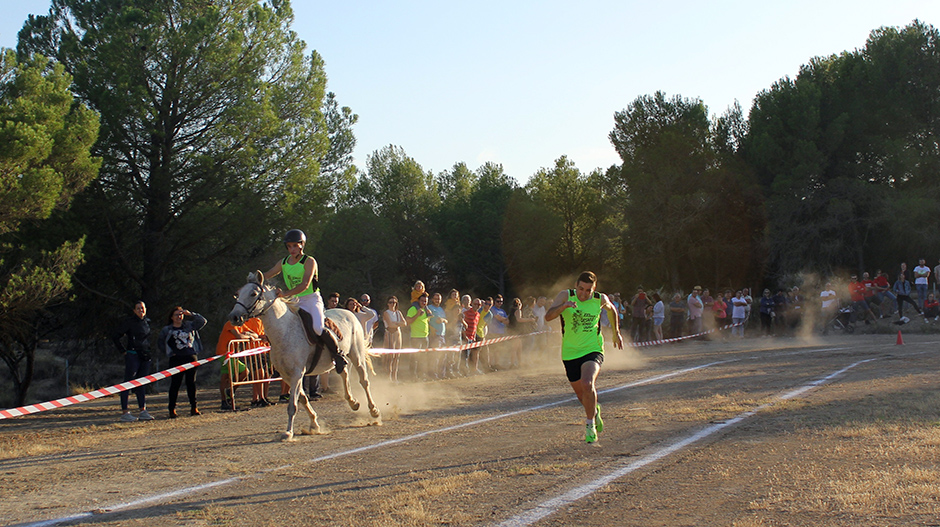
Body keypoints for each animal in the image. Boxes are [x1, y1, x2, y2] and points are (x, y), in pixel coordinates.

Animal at [228, 272, 378, 442]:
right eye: (238, 293)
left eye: (253, 293)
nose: (234, 317)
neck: (284, 331)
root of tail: (350, 313)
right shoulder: (287, 376)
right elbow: (303, 399)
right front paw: (314, 425)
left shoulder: (296, 374)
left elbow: (292, 405)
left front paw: (288, 432)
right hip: (337, 360)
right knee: (344, 373)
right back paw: (353, 403)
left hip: (356, 355)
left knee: (364, 381)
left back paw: (374, 411)